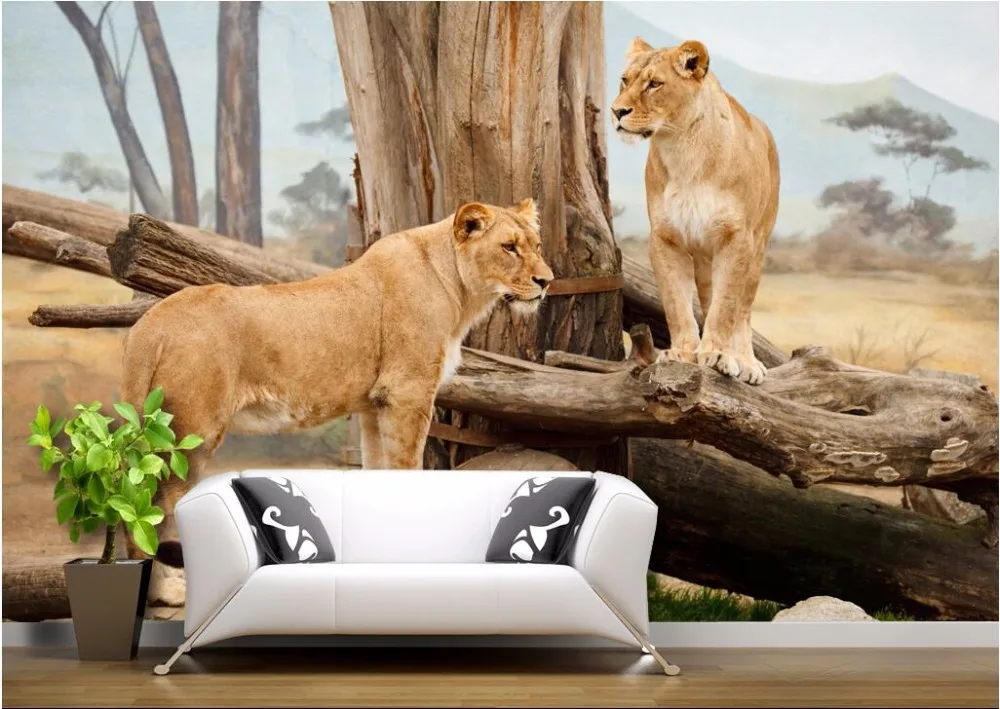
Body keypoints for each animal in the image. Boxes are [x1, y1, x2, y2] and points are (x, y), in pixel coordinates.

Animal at [121, 199, 553, 604]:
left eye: (536, 245)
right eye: (509, 248)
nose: (546, 281)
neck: (457, 287)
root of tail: (149, 326)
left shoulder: (375, 404)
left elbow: (378, 472)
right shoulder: (408, 392)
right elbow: (407, 469)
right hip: (190, 435)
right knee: (161, 502)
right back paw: (169, 592)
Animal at [611, 37, 779, 384]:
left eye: (654, 84)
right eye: (625, 80)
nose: (617, 111)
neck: (682, 148)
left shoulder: (737, 238)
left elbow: (727, 307)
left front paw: (718, 355)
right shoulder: (665, 239)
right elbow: (677, 304)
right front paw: (683, 352)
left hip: (758, 248)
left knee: (743, 310)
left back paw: (746, 362)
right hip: (704, 257)